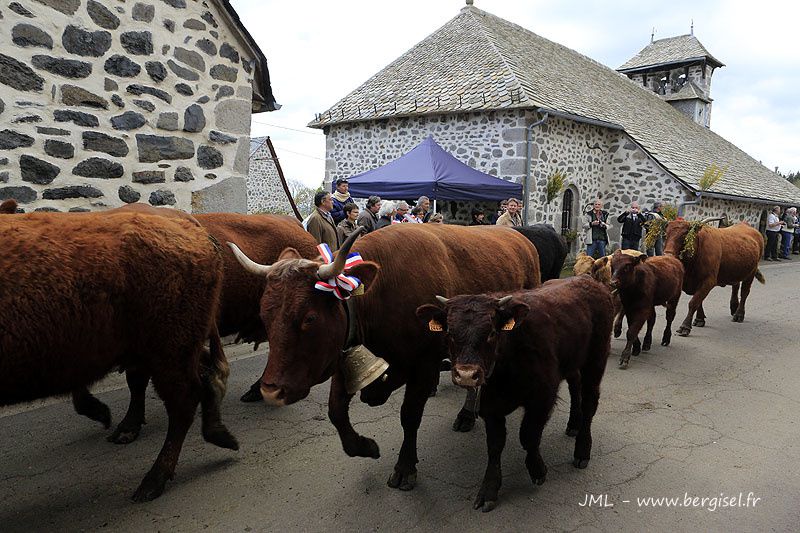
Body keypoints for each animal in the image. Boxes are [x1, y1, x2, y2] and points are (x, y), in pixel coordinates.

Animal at [0, 211, 238, 498]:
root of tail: (195, 230)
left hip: (169, 351)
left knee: (184, 399)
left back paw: (152, 480)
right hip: (170, 349)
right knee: (204, 378)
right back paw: (214, 433)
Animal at [228, 223, 540, 490]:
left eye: (310, 318)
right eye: (264, 315)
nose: (271, 391)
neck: (383, 294)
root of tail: (519, 236)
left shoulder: (423, 366)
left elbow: (409, 416)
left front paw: (405, 467)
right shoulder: (345, 357)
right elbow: (336, 412)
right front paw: (365, 446)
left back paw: (466, 413)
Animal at [412, 276, 612, 510]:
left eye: (491, 332)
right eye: (449, 333)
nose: (467, 374)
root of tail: (588, 280)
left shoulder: (542, 397)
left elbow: (528, 436)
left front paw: (537, 469)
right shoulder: (490, 407)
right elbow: (495, 446)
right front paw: (489, 488)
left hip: (596, 360)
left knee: (589, 401)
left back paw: (582, 450)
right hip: (573, 362)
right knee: (575, 387)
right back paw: (573, 424)